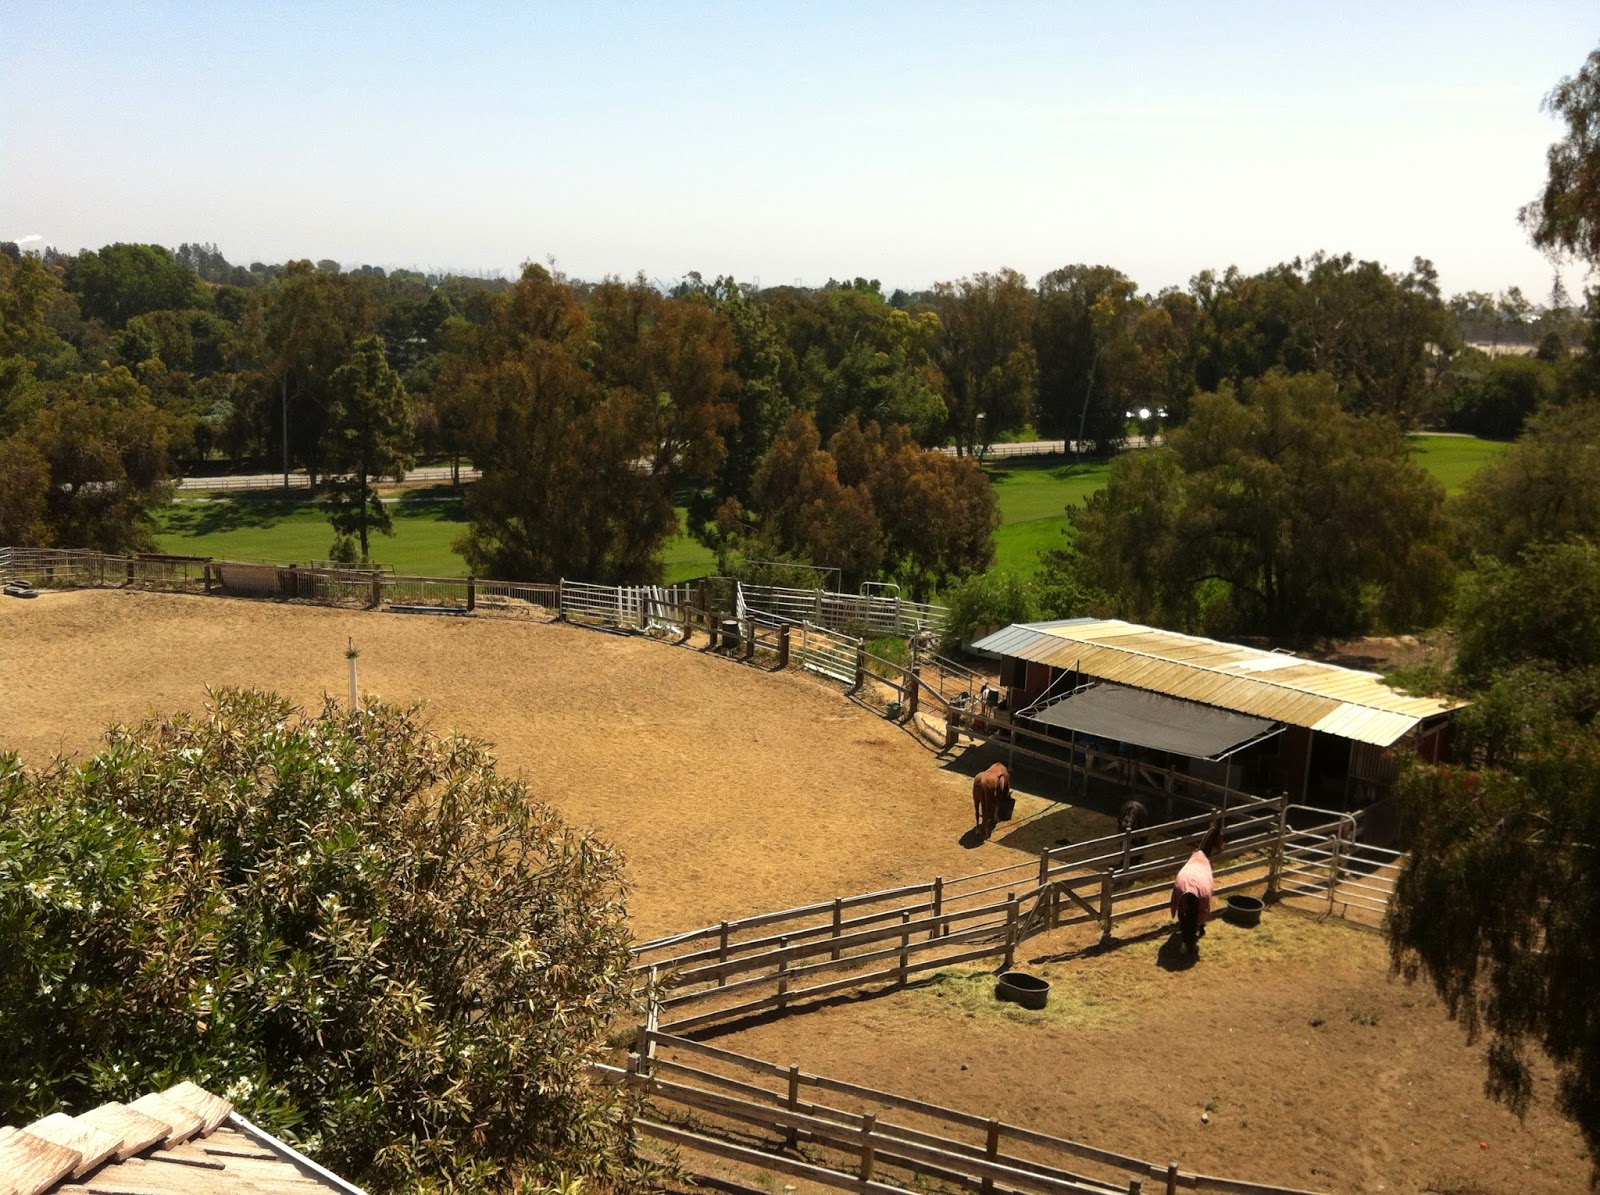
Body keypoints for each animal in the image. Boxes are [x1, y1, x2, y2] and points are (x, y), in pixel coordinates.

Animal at [1171, 817, 1226, 958]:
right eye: (1220, 836)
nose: (1222, 848)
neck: (1201, 855)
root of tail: (1188, 892)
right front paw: (1202, 931)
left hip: (1180, 910)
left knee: (1184, 927)